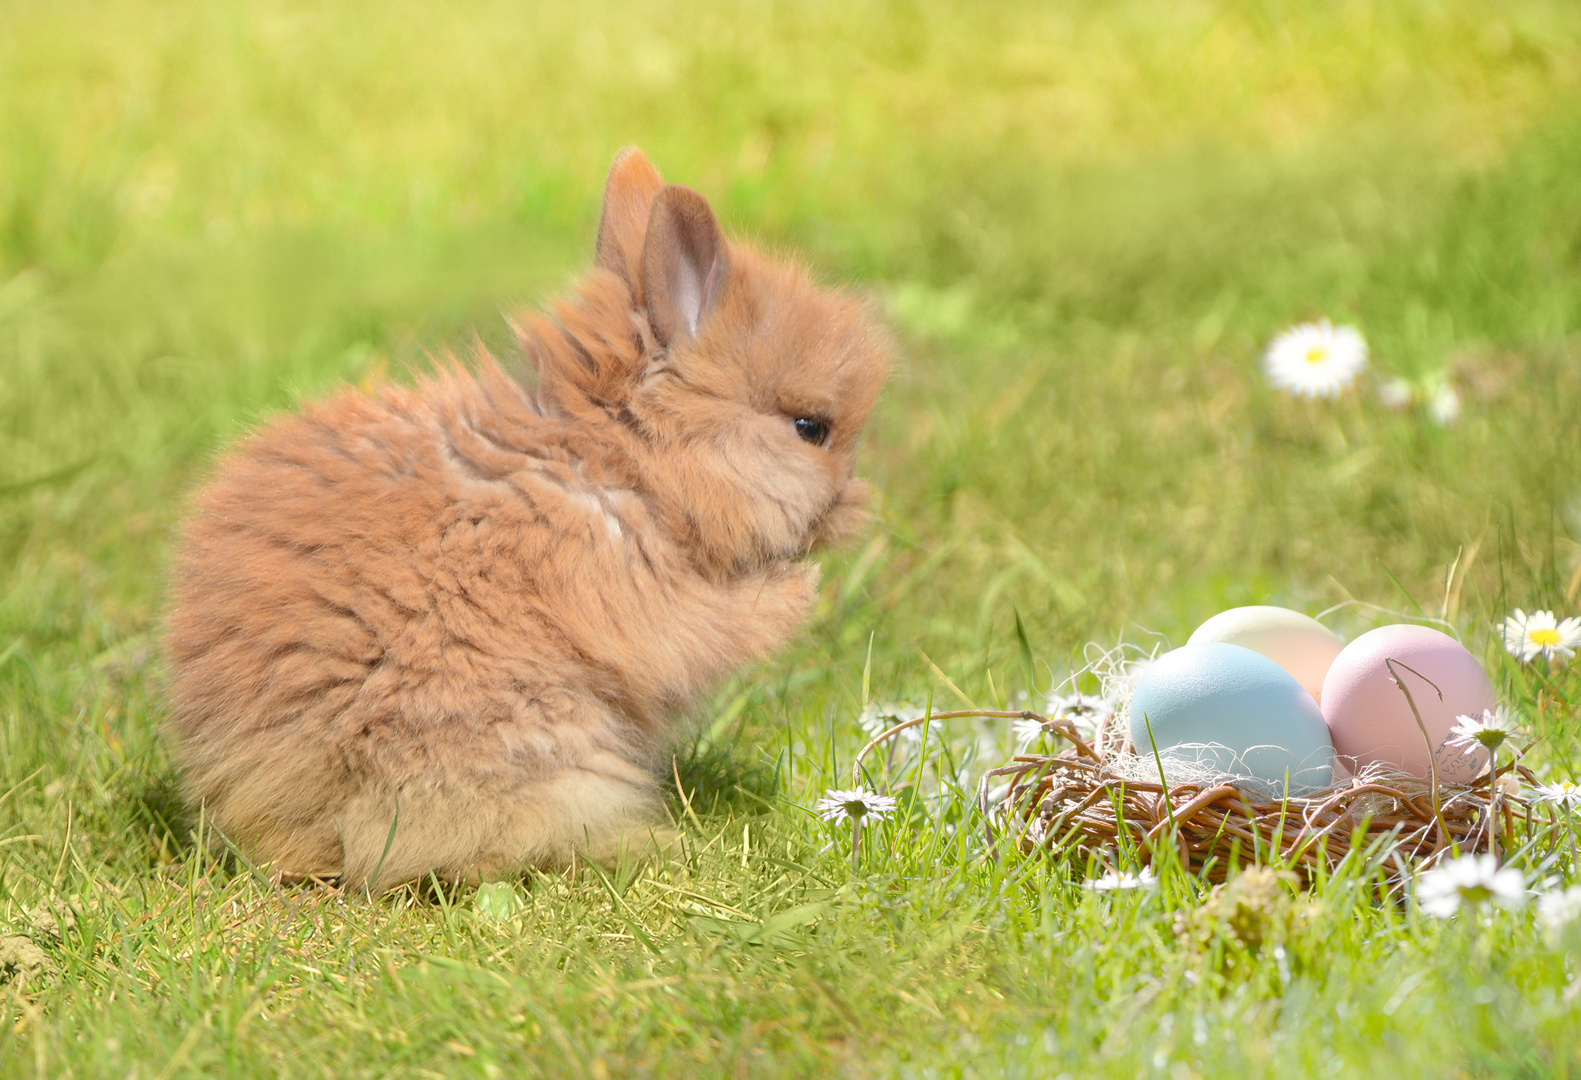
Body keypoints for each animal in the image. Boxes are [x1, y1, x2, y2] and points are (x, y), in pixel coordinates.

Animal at [171, 150, 898, 885]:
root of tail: (292, 801)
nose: (854, 507)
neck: (617, 464)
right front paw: (799, 591)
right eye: (811, 429)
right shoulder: (636, 600)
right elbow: (715, 628)